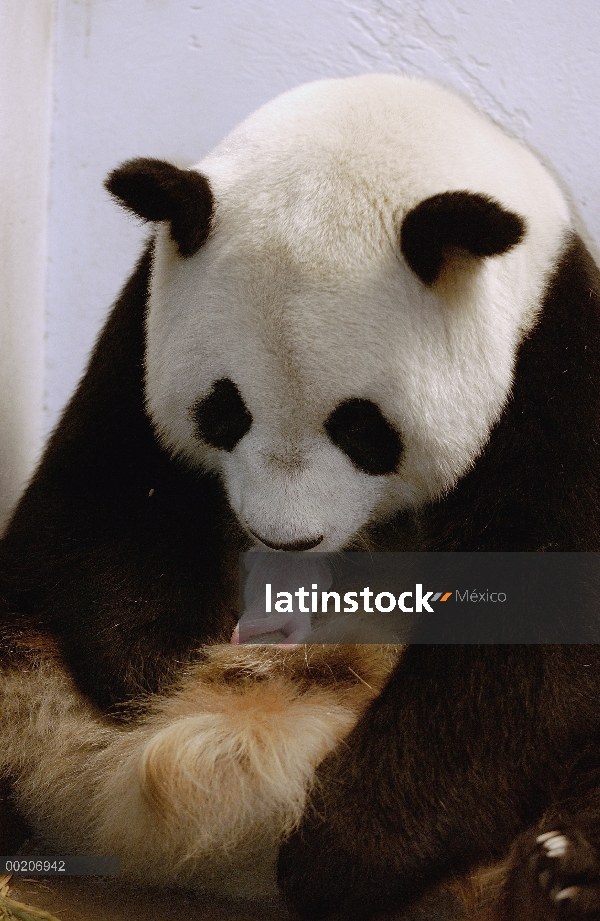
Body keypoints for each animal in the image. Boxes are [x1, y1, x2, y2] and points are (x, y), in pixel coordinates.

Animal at [1, 72, 600, 920]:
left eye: (363, 427)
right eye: (223, 410)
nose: (286, 541)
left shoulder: (553, 356)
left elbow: (538, 619)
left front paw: (345, 850)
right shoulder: (140, 322)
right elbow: (97, 503)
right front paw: (166, 663)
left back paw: (557, 875)